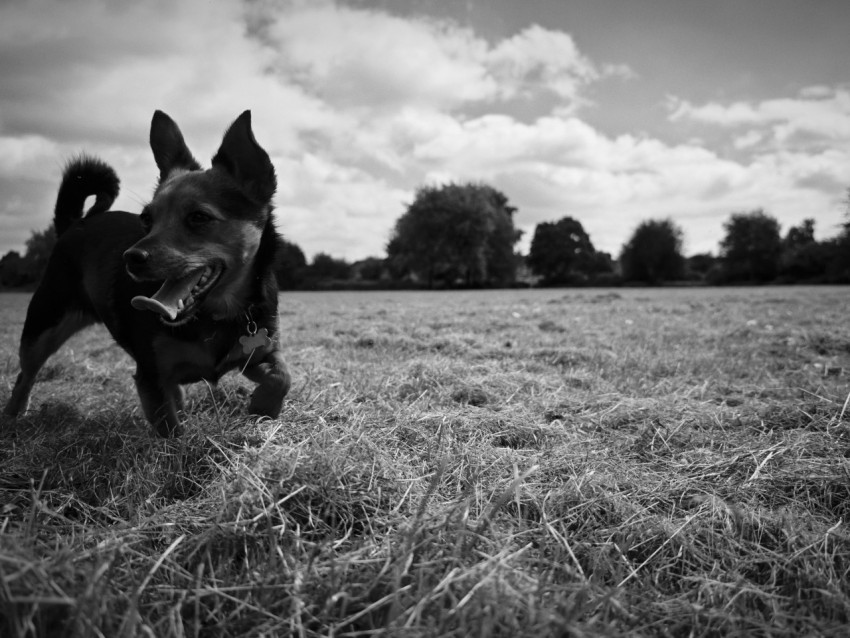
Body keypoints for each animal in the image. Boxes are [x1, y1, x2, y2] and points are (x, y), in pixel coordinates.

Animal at [3, 111, 290, 440]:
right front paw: (180, 447)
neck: (215, 316)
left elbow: (282, 375)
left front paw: (264, 407)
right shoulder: (150, 376)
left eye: (199, 217)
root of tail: (73, 225)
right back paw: (13, 415)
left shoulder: (259, 351)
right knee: (26, 374)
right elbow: (170, 430)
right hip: (42, 327)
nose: (131, 257)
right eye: (146, 219)